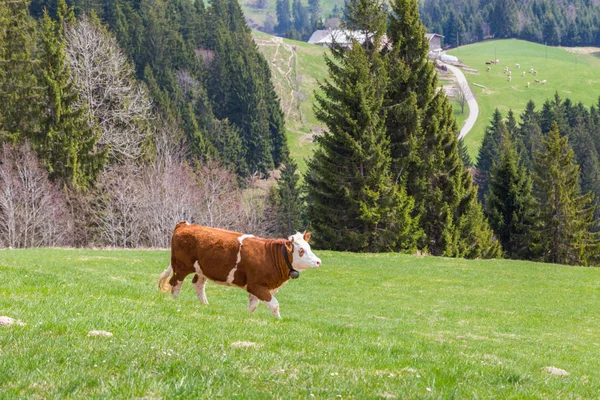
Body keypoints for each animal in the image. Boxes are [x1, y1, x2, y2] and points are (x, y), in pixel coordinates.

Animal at [157, 222, 322, 318]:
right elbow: (274, 304)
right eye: (301, 250)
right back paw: (175, 302)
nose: (318, 261)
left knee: (198, 285)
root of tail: (185, 225)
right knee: (175, 284)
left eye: (309, 247)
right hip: (181, 267)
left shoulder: (258, 288)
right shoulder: (256, 286)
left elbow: (252, 306)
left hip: (202, 269)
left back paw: (205, 305)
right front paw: (279, 321)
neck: (270, 256)